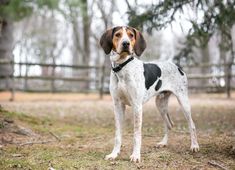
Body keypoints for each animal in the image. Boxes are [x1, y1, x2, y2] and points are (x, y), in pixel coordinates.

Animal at [99, 25, 198, 163]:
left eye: (131, 35)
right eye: (118, 34)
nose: (126, 44)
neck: (123, 67)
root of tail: (176, 66)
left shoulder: (137, 106)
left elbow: (136, 134)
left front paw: (135, 155)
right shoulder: (118, 105)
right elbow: (118, 134)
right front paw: (114, 154)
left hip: (184, 102)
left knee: (192, 125)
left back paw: (194, 146)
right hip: (160, 105)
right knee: (169, 124)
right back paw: (163, 143)